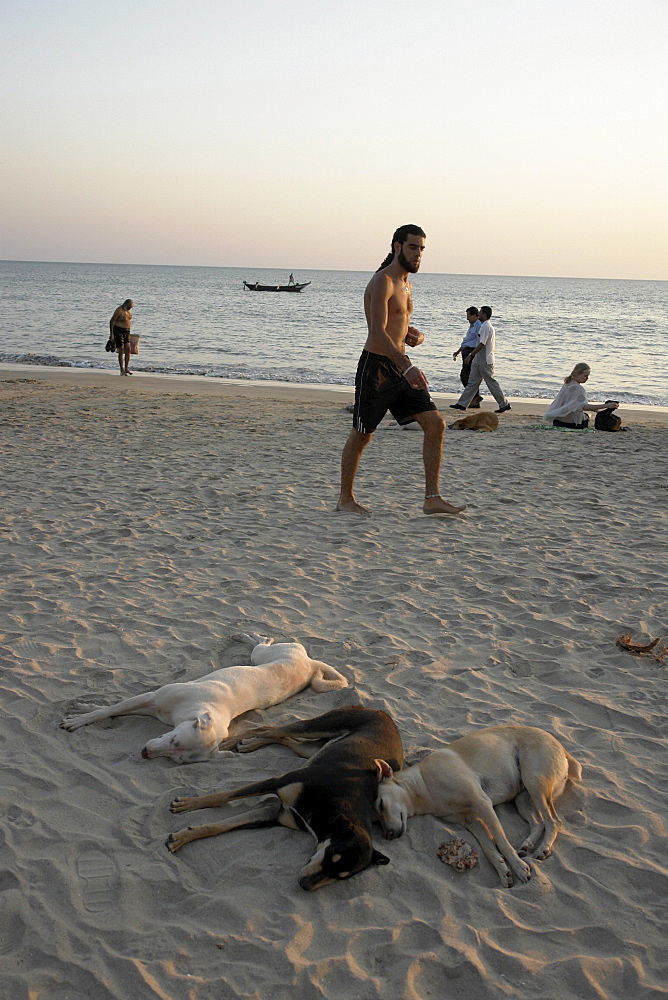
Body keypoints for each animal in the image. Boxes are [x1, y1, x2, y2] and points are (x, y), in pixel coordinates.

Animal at [60, 632, 348, 764]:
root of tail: (310, 663)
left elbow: (112, 710)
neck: (194, 710)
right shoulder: (151, 697)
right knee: (263, 643)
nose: (144, 753)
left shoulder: (154, 707)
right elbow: (106, 710)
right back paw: (249, 635)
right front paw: (80, 715)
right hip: (265, 656)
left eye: (178, 758)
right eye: (174, 739)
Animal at [374, 728, 580, 884]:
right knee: (538, 822)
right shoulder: (471, 821)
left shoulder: (482, 803)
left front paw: (518, 867)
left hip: (535, 783)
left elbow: (502, 842)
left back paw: (543, 849)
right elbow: (489, 848)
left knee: (554, 821)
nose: (388, 835)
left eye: (381, 805)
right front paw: (502, 870)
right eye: (377, 821)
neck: (425, 786)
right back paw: (527, 846)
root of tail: (560, 745)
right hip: (523, 800)